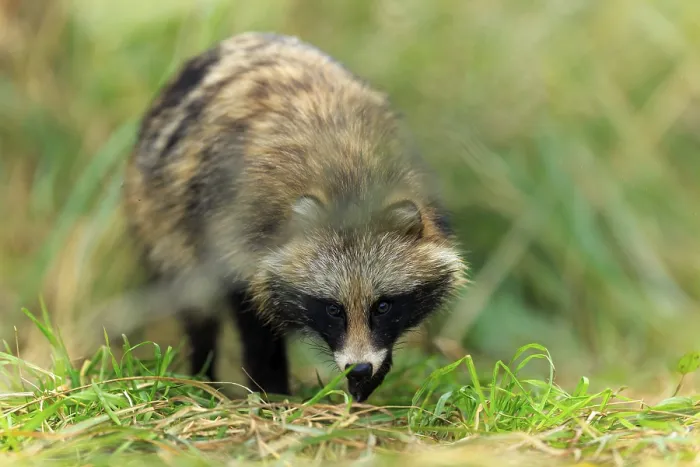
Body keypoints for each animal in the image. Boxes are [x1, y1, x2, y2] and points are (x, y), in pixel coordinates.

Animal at [123, 32, 467, 402]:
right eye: (333, 309)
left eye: (383, 306)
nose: (359, 370)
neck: (349, 185)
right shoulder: (231, 228)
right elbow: (252, 319)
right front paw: (272, 391)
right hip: (162, 224)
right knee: (197, 311)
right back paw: (204, 374)